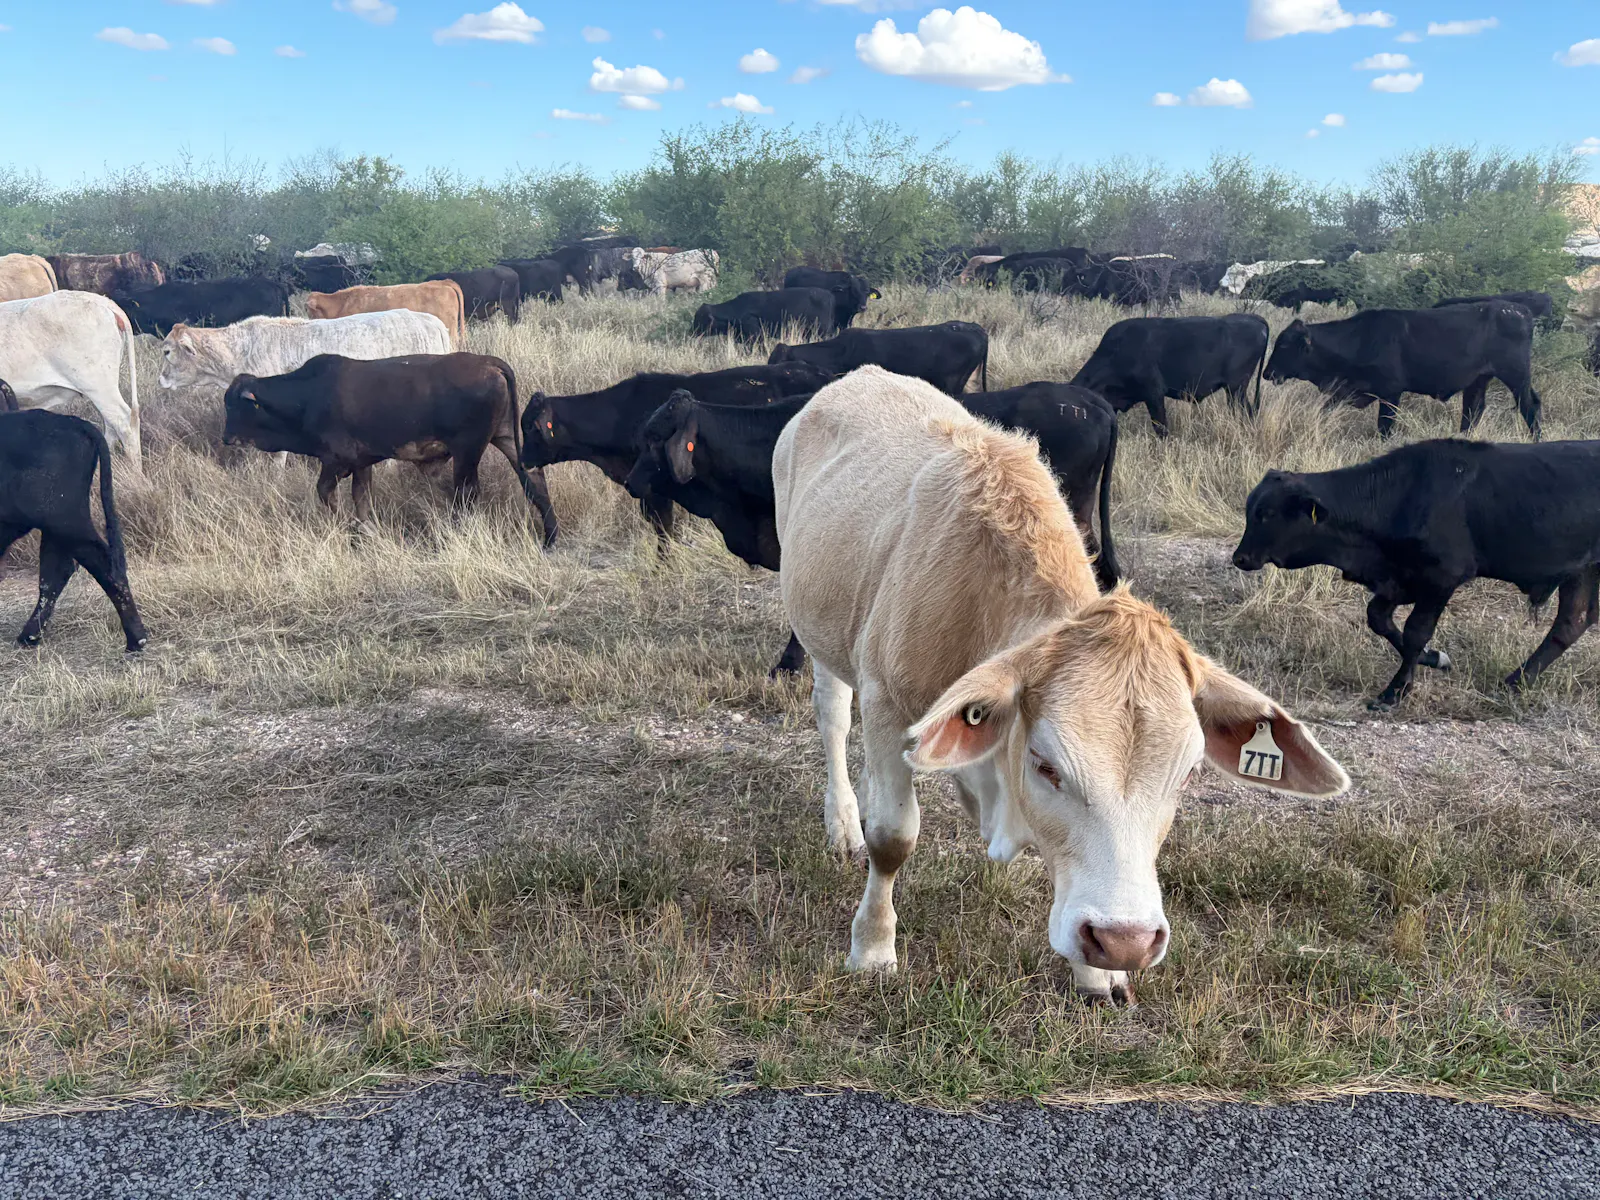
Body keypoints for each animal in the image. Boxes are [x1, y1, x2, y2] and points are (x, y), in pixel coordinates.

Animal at [0, 409, 148, 653]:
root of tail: (73, 422)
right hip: (56, 528)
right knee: (55, 574)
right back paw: (29, 636)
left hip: (66, 522)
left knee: (102, 564)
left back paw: (136, 640)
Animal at [222, 353, 557, 543]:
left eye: (235, 405)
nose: (226, 438)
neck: (307, 397)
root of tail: (491, 363)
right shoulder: (361, 463)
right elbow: (361, 499)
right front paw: (364, 531)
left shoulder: (336, 460)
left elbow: (325, 493)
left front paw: (345, 527)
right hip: (508, 440)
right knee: (535, 484)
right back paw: (550, 538)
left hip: (467, 452)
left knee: (467, 493)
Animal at [1233, 439, 1600, 711]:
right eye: (1251, 510)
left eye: (1266, 514)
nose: (1240, 557)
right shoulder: (1399, 580)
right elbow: (1379, 619)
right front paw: (1433, 659)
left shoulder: (1440, 579)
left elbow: (1414, 632)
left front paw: (1395, 691)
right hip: (1581, 572)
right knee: (1570, 624)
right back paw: (1517, 681)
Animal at [1264, 302, 1542, 439]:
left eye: (1284, 345)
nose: (1267, 373)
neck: (1361, 339)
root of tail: (1520, 311)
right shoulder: (1347, 390)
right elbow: (1324, 411)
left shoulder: (1390, 393)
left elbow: (1385, 427)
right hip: (1478, 380)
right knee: (1473, 411)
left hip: (1516, 376)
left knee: (1529, 406)